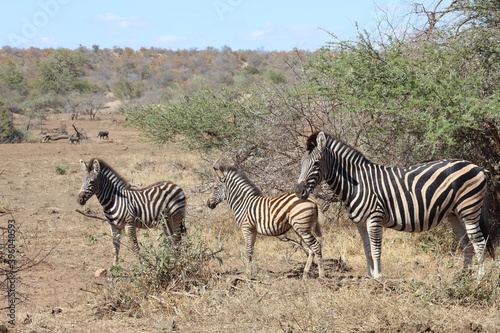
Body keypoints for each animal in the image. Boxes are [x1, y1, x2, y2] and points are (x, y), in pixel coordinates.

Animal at [294, 131, 494, 276]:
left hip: (469, 210)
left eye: (317, 163)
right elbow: (367, 250)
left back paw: (479, 278)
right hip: (455, 214)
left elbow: (376, 250)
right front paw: (370, 277)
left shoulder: (374, 218)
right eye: (301, 163)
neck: (356, 184)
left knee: (479, 243)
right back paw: (462, 277)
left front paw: (379, 278)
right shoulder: (360, 223)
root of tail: (478, 167)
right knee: (467, 244)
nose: (297, 190)